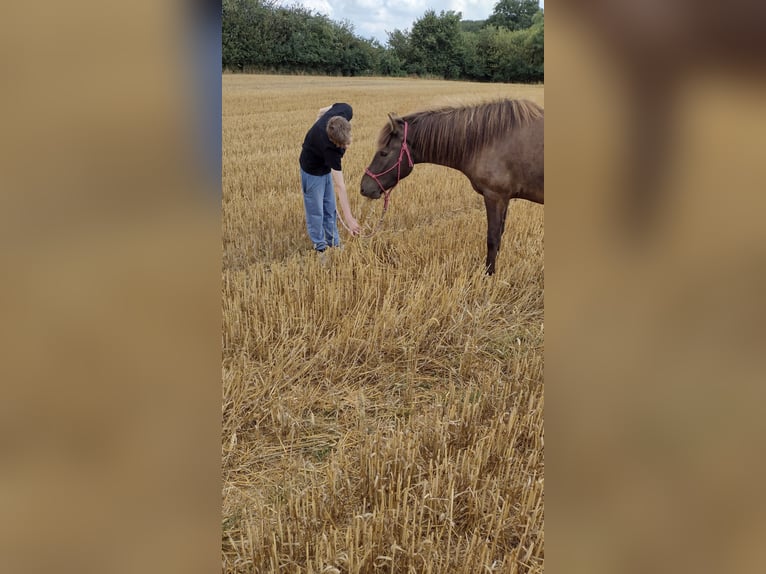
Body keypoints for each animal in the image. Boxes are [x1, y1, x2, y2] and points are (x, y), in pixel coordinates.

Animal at [362, 98, 544, 276]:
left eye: (384, 153)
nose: (364, 187)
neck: (489, 141)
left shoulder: (495, 196)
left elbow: (492, 239)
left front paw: (488, 275)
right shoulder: (504, 199)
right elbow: (499, 235)